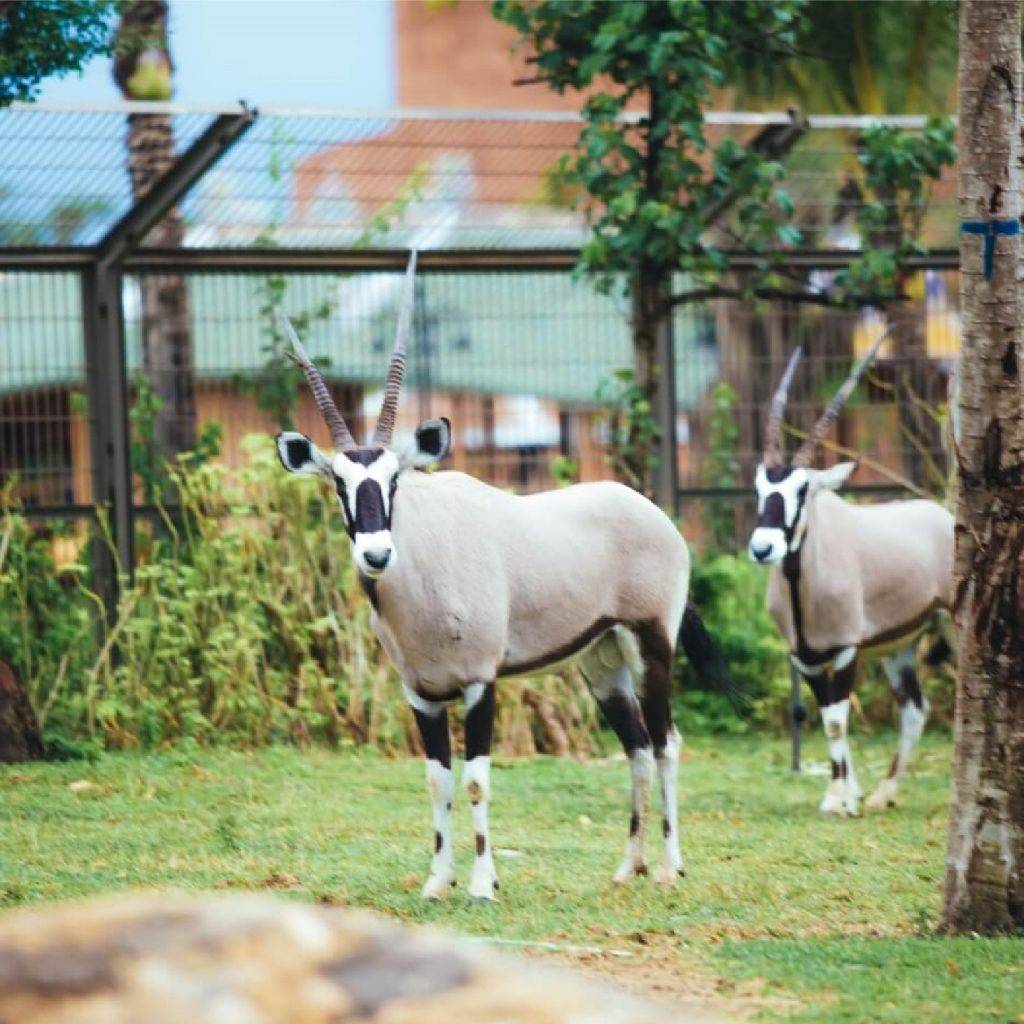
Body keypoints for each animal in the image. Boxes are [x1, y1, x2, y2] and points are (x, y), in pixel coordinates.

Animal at [276, 251, 733, 901]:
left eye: (395, 480)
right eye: (339, 482)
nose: (376, 555)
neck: (424, 564)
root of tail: (656, 517)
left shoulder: (478, 683)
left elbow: (475, 780)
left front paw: (481, 883)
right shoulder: (422, 694)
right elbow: (437, 781)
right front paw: (437, 879)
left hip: (651, 645)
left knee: (667, 742)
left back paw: (670, 866)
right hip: (602, 663)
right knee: (639, 748)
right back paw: (629, 866)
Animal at [749, 335, 954, 815]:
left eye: (802, 489)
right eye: (761, 488)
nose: (763, 548)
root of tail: (944, 515)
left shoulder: (845, 650)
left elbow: (838, 722)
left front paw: (840, 799)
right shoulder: (804, 657)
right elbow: (828, 719)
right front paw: (842, 793)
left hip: (954, 626)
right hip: (900, 647)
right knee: (915, 709)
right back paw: (883, 792)